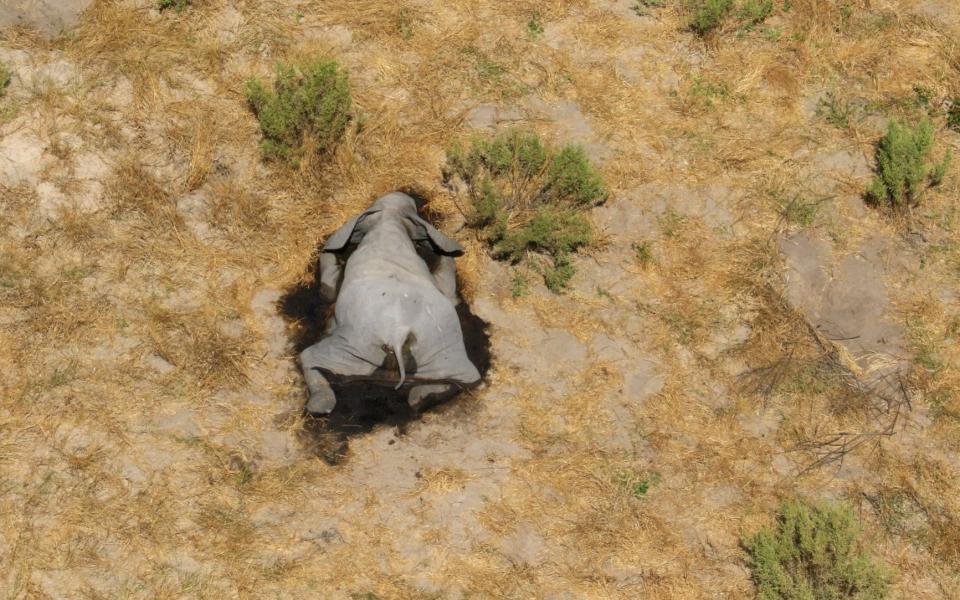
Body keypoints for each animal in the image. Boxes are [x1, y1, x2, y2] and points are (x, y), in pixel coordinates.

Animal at [298, 190, 480, 414]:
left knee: (309, 356)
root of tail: (398, 335)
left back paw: (319, 405)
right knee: (466, 379)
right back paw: (419, 399)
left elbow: (329, 288)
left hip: (354, 347)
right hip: (442, 351)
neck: (389, 220)